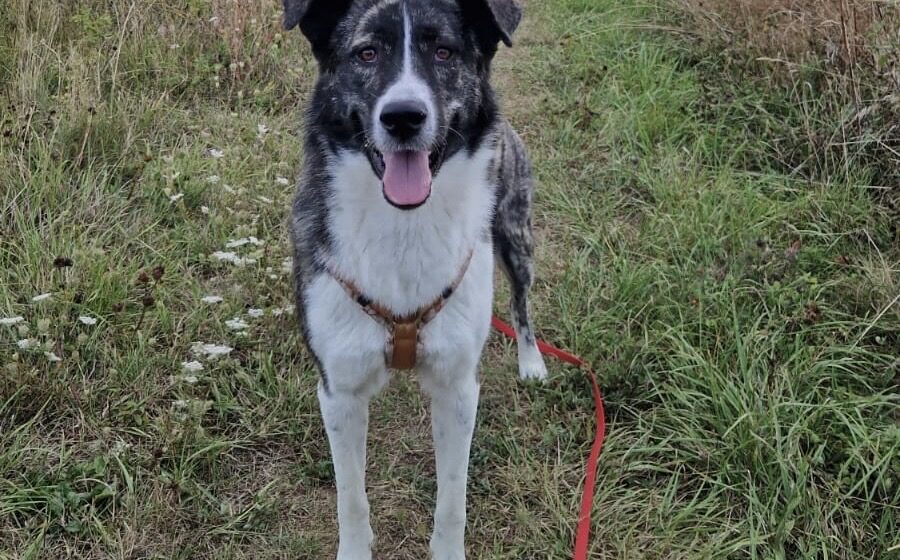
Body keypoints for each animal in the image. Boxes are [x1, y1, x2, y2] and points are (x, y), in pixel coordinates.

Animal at [284, 0, 547, 557]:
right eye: (366, 53)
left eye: (444, 51)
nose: (403, 117)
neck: (403, 224)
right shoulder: (339, 391)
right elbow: (351, 499)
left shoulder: (457, 390)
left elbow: (452, 501)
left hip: (516, 235)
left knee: (521, 303)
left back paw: (532, 361)